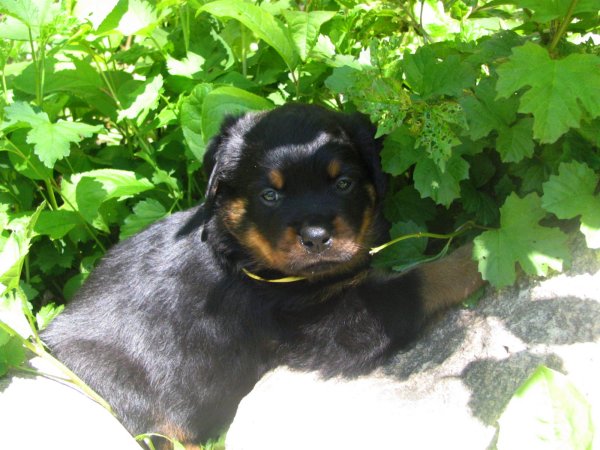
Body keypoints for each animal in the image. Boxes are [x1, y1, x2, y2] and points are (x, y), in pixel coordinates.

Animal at [43, 104, 484, 448]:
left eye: (344, 183)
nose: (316, 237)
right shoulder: (328, 325)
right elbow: (421, 278)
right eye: (270, 195)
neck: (245, 260)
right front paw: (477, 254)